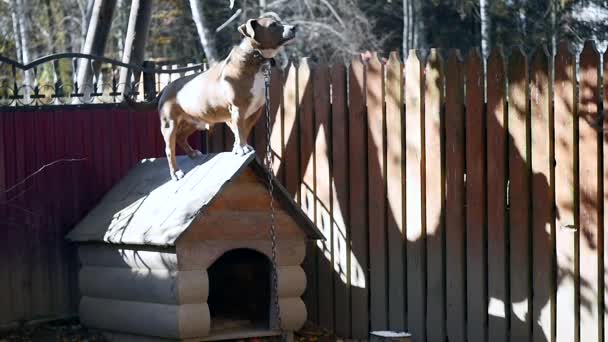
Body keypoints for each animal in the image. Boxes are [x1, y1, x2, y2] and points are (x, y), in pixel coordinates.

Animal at [152, 15, 294, 180]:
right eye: (272, 25)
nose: (293, 27)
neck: (256, 57)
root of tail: (166, 89)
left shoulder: (254, 112)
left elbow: (243, 130)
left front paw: (239, 148)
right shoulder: (238, 109)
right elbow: (239, 129)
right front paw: (242, 148)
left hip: (193, 121)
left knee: (181, 137)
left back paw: (192, 153)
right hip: (169, 124)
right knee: (169, 149)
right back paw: (176, 172)